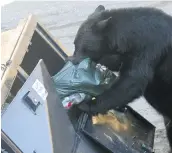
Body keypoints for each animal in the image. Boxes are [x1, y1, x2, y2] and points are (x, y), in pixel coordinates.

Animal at [71, 5, 172, 149]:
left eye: (84, 48)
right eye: (74, 44)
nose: (73, 60)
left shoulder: (150, 49)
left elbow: (132, 82)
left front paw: (88, 104)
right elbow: (116, 62)